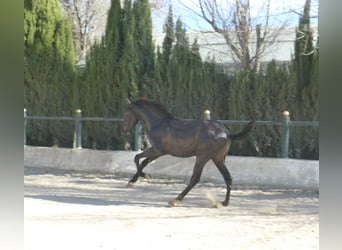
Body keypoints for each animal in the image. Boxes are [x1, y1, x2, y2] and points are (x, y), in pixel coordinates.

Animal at [121, 98, 254, 207]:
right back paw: (224, 203)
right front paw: (133, 180)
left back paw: (175, 200)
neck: (158, 123)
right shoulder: (158, 152)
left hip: (202, 157)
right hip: (218, 158)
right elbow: (143, 161)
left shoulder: (157, 150)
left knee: (195, 179)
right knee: (228, 177)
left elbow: (137, 158)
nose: (124, 130)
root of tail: (227, 133)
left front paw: (142, 176)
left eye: (126, 113)